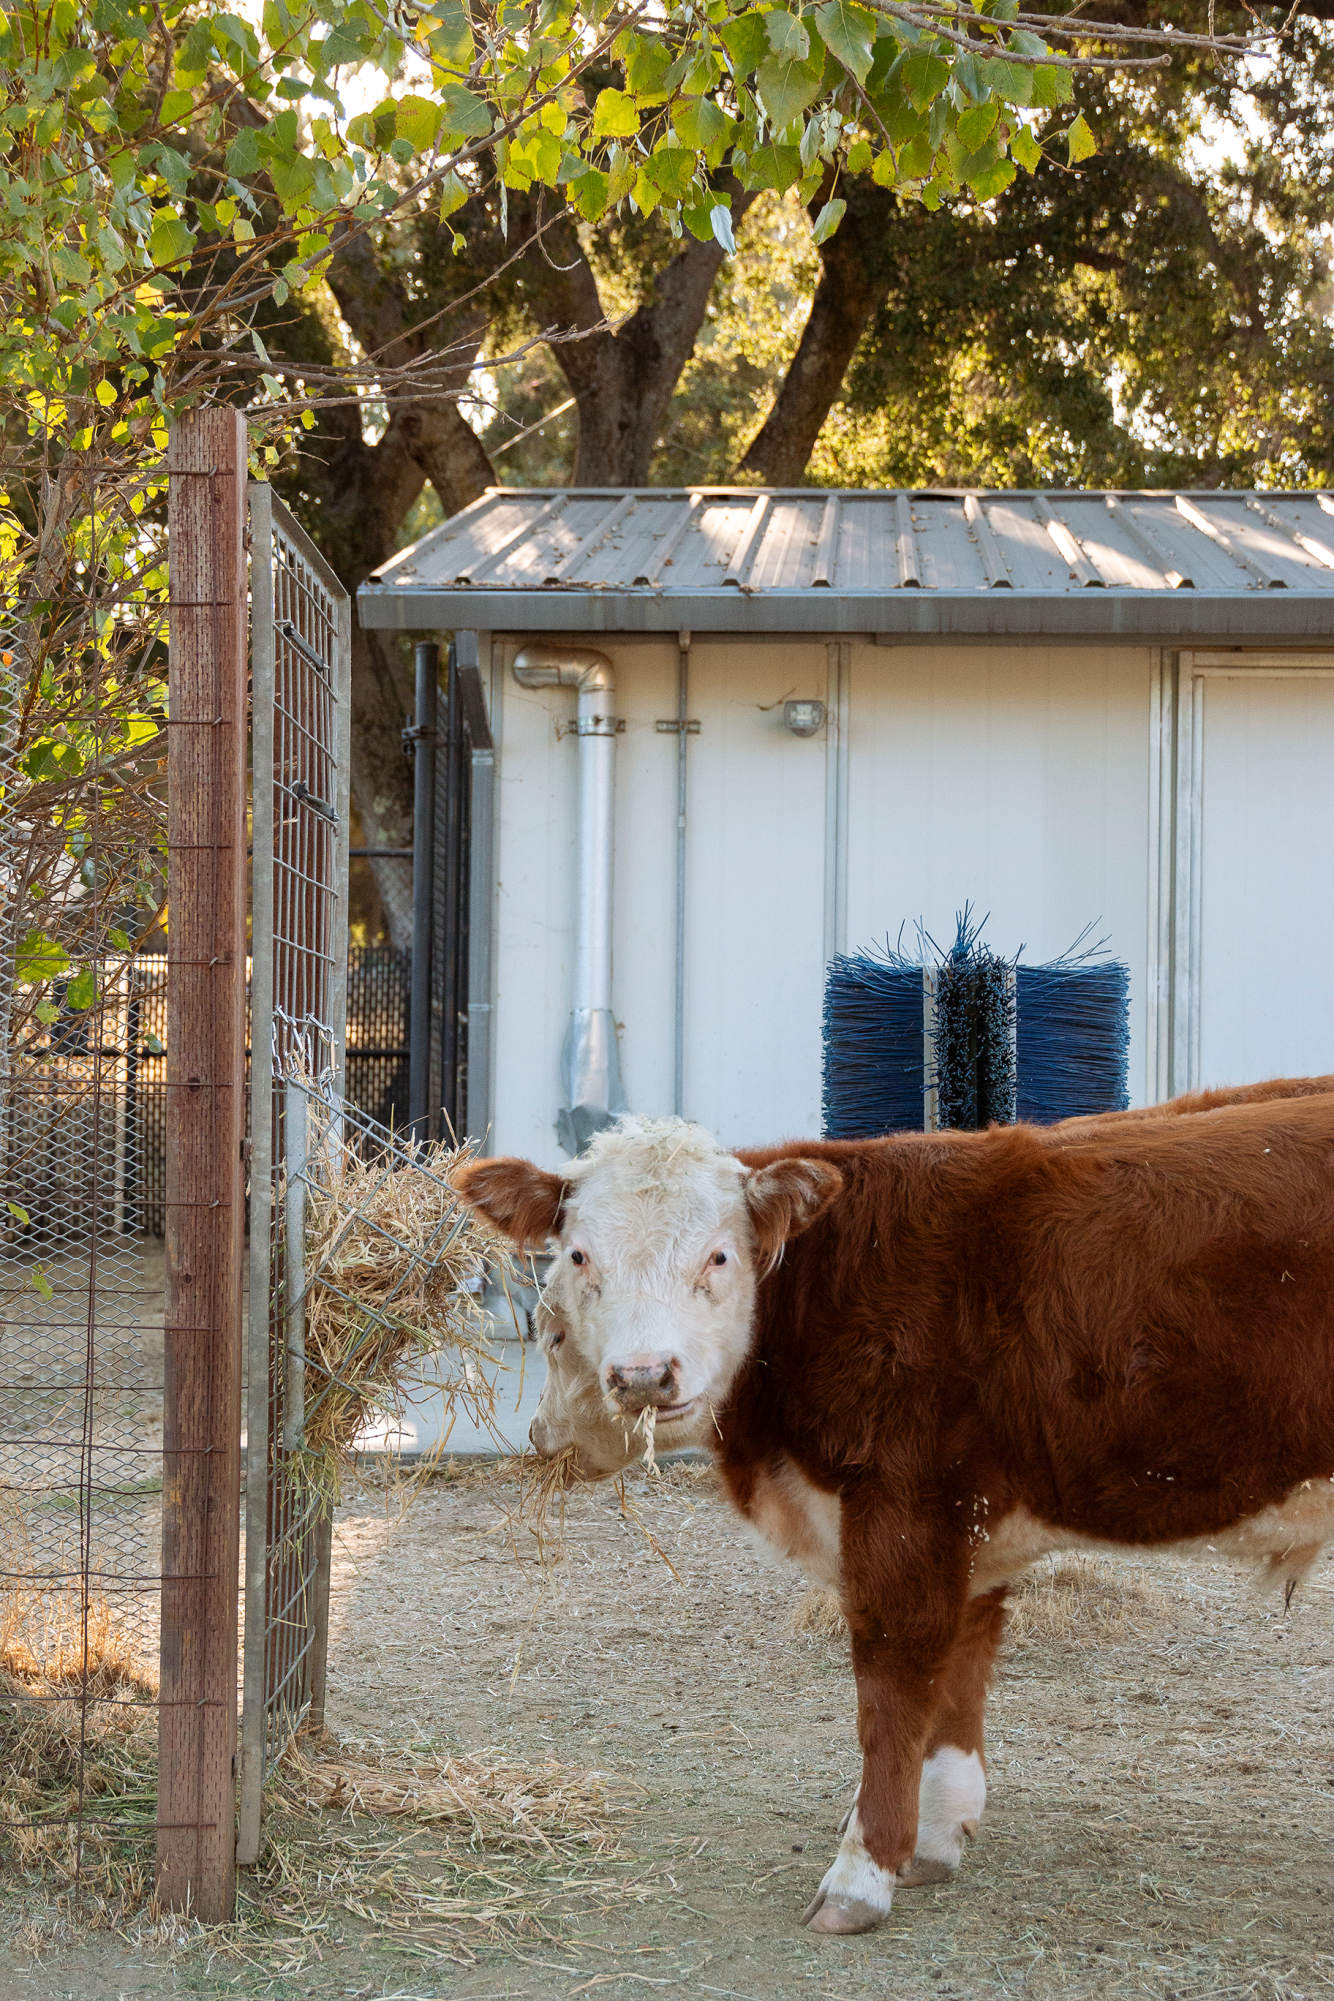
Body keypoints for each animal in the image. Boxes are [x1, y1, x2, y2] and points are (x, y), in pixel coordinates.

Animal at [456, 1080, 1334, 1936]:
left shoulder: (903, 1508)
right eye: (579, 1255)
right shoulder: (967, 1521)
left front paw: (862, 1870)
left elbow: (893, 1689)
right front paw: (936, 1835)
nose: (643, 1375)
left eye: (719, 1254)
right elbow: (959, 1675)